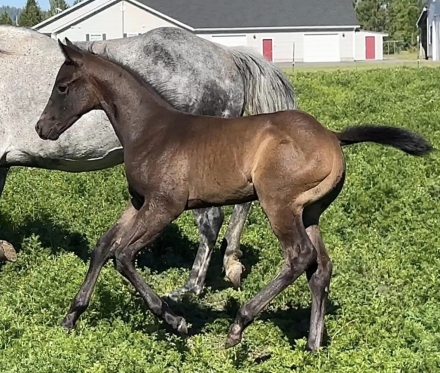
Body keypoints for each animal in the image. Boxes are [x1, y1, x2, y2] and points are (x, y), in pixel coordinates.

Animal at [0, 25, 296, 306]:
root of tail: (229, 55)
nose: (41, 127)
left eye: (61, 87)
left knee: (212, 220)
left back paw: (189, 289)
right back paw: (231, 265)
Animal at [34, 40, 434, 352]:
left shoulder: (165, 205)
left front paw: (177, 321)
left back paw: (238, 325)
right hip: (310, 212)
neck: (151, 130)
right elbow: (103, 246)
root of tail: (333, 136)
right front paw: (71, 316)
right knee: (321, 268)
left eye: (62, 87)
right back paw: (313, 346)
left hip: (279, 204)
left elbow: (123, 256)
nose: (42, 128)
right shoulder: (139, 202)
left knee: (299, 257)